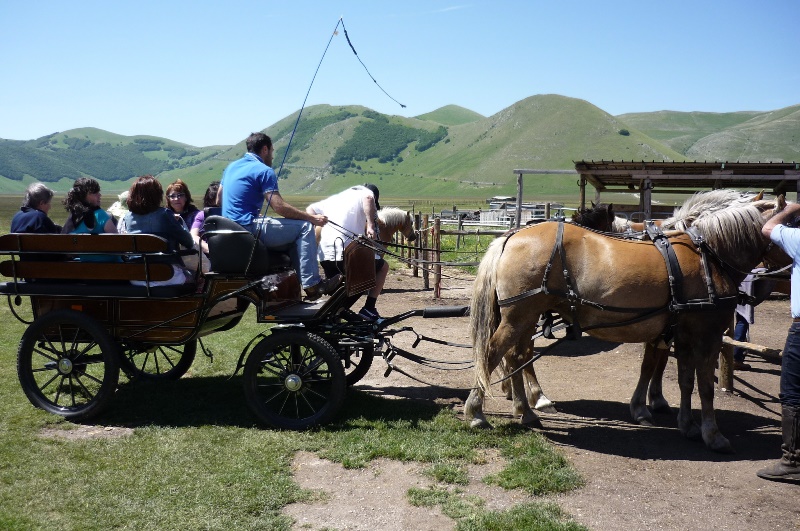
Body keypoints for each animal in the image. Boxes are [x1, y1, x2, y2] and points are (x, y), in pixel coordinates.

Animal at [468, 195, 788, 454]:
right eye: (792, 221)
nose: (766, 287)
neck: (709, 256)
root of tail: (510, 237)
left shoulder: (682, 334)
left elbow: (683, 379)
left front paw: (685, 423)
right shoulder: (706, 335)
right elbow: (703, 385)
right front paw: (712, 434)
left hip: (526, 316)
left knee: (516, 356)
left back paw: (525, 410)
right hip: (520, 316)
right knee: (494, 354)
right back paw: (478, 411)